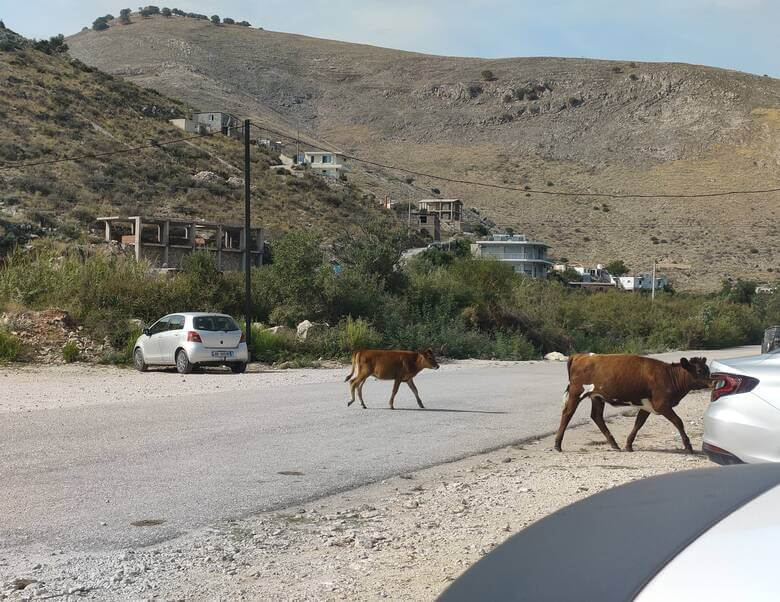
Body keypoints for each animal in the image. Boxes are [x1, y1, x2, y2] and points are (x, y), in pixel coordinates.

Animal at [556, 352, 712, 450]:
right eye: (699, 370)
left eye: (708, 369)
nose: (712, 381)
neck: (669, 375)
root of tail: (580, 355)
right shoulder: (662, 404)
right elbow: (678, 422)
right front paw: (688, 446)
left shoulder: (647, 405)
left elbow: (638, 423)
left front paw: (629, 444)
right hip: (576, 392)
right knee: (567, 413)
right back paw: (557, 445)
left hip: (597, 397)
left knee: (597, 416)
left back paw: (614, 444)